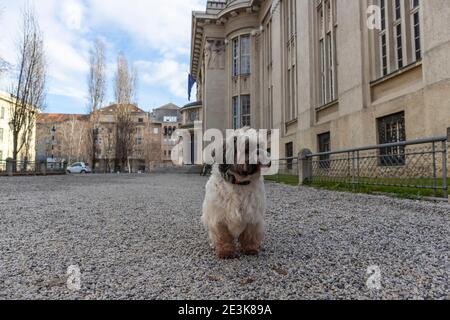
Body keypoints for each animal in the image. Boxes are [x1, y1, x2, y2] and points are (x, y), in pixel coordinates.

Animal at [201, 126, 270, 258]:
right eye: (247, 149)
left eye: (259, 145)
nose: (258, 152)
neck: (239, 182)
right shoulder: (218, 219)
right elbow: (223, 237)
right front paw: (225, 251)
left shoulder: (253, 218)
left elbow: (250, 235)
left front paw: (250, 249)